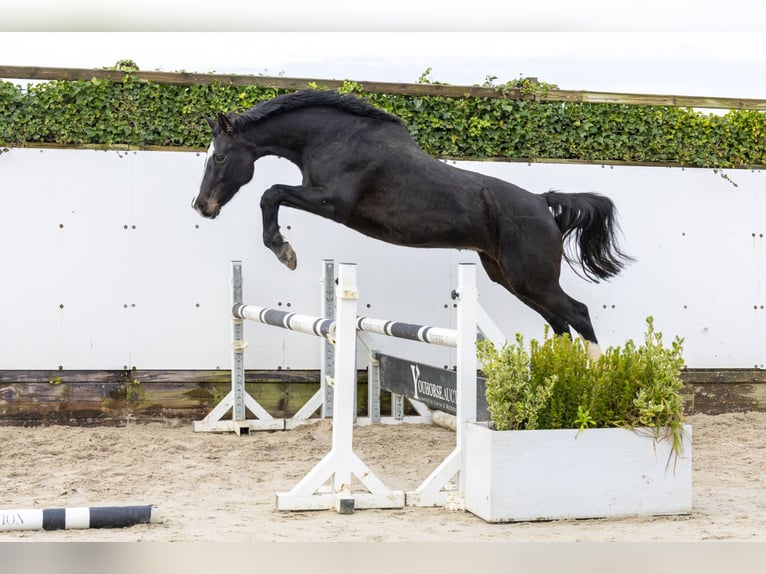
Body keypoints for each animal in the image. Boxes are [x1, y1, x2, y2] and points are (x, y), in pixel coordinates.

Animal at [192, 89, 633, 358]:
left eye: (219, 157)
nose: (201, 207)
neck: (332, 137)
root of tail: (543, 203)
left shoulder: (333, 202)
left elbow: (271, 193)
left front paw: (284, 251)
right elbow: (273, 194)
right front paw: (283, 249)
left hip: (532, 279)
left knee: (578, 314)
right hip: (510, 278)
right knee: (560, 324)